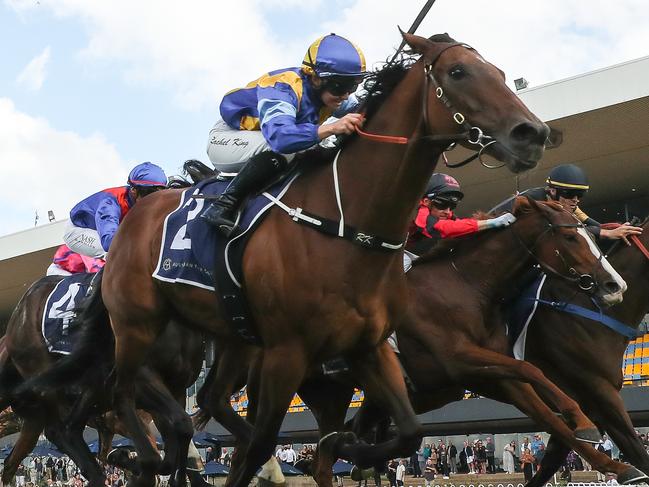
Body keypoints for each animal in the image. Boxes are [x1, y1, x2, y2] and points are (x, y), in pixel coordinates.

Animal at [26, 31, 552, 487]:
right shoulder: (287, 353)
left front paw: (348, 446)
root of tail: (130, 223)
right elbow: (262, 443)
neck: (348, 224)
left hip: (231, 337)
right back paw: (143, 457)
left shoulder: (369, 345)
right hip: (137, 325)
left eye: (499, 72)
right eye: (459, 72)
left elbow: (408, 432)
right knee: (123, 391)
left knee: (199, 399)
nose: (533, 133)